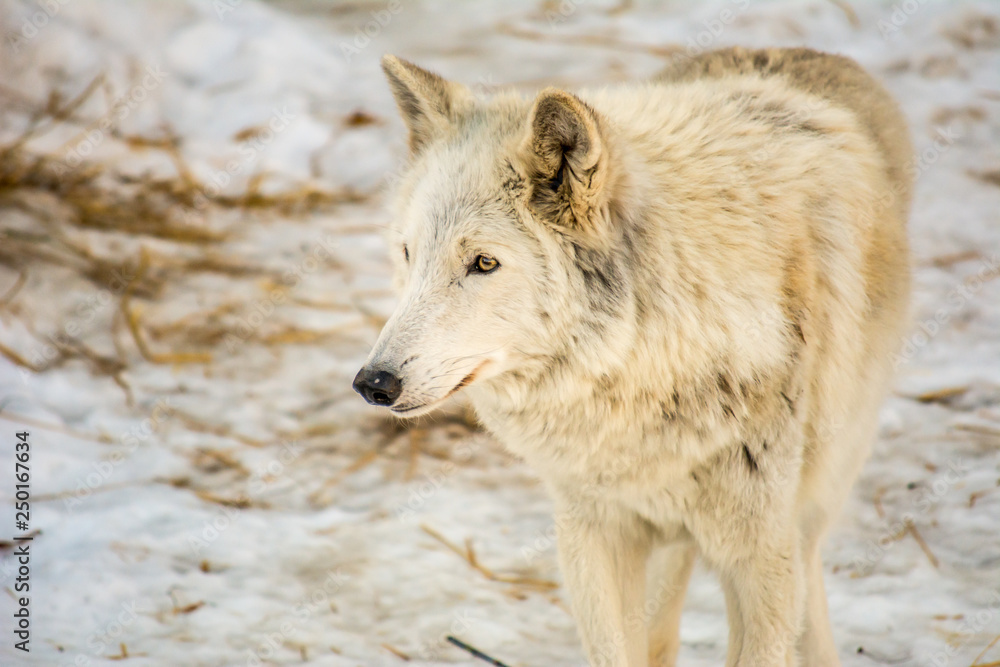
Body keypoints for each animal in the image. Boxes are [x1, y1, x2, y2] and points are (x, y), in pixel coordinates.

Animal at [354, 47, 911, 666]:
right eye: (409, 253)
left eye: (483, 263)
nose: (373, 383)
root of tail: (815, 54)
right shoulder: (592, 536)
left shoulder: (760, 554)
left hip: (814, 497)